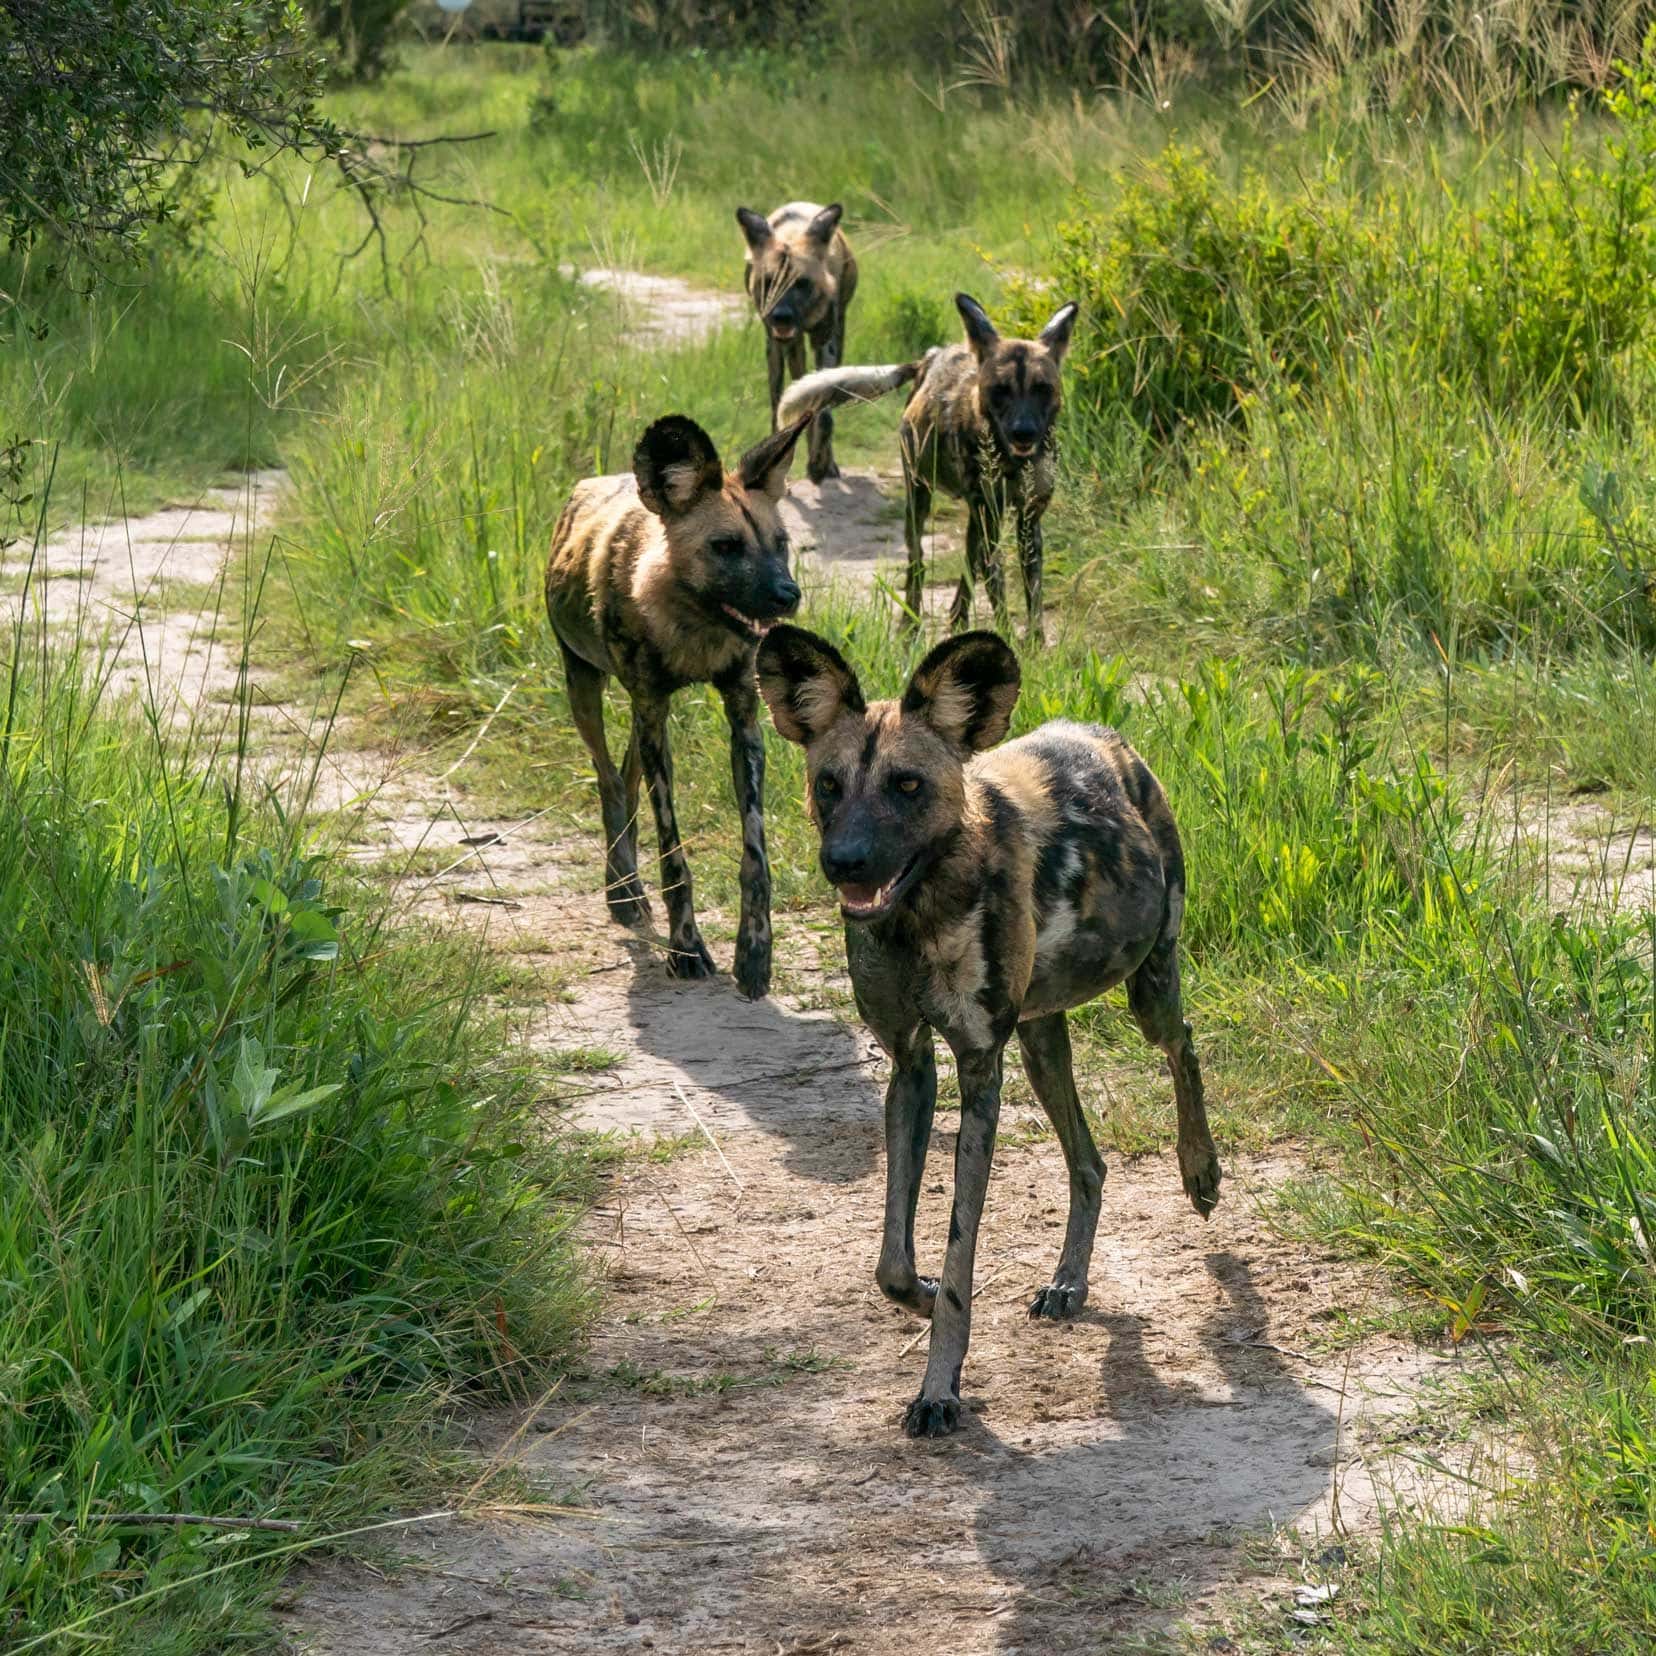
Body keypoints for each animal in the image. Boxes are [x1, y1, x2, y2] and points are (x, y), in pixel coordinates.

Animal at [546, 412, 811, 993]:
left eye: (779, 543)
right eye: (726, 546)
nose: (789, 595)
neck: (692, 624)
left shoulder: (743, 719)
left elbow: (755, 858)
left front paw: (755, 953)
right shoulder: (650, 709)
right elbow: (674, 858)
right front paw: (686, 948)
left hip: (642, 719)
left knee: (625, 779)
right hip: (588, 690)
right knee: (608, 780)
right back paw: (623, 891)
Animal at [741, 200, 867, 483]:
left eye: (802, 283)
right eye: (769, 282)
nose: (781, 316)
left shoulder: (826, 342)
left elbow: (824, 414)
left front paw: (820, 464)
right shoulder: (784, 342)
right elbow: (787, 407)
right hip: (780, 350)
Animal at [758, 622, 1225, 1437]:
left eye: (907, 785)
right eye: (829, 785)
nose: (843, 861)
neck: (920, 912)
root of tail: (1103, 736)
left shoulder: (980, 1071)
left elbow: (959, 1251)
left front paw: (938, 1387)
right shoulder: (911, 1065)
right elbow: (894, 1261)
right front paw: (918, 1300)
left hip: (1148, 990)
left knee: (1184, 1043)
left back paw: (1200, 1172)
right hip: (1040, 1042)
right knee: (1089, 1163)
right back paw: (1069, 1281)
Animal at [778, 293, 1079, 639]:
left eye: (1042, 389)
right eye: (1000, 390)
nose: (1023, 432)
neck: (1013, 461)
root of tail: (929, 358)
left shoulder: (1028, 520)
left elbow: (1033, 594)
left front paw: (1035, 644)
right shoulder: (992, 517)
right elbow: (997, 587)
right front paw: (1007, 639)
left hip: (976, 517)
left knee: (969, 564)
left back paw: (958, 621)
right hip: (920, 499)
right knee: (919, 562)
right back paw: (910, 626)